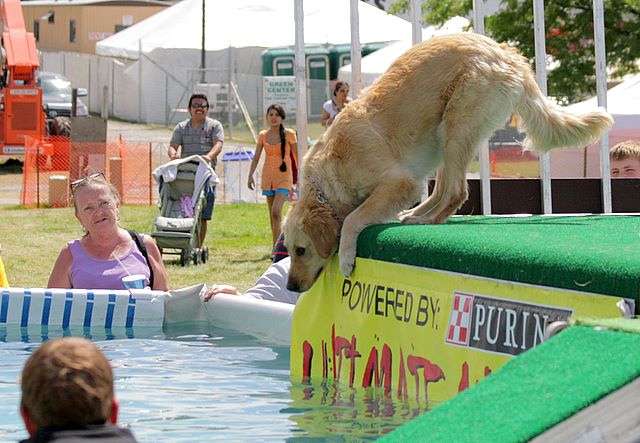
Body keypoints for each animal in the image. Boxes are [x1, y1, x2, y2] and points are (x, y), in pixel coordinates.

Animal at [283, 33, 613, 293]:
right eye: (288, 250)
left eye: (301, 250)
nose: (291, 287)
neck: (328, 176)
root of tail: (504, 52)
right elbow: (360, 212)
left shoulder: (399, 182)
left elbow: (353, 218)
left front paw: (346, 256)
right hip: (443, 136)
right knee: (444, 190)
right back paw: (416, 215)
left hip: (457, 123)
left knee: (456, 191)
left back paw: (424, 220)